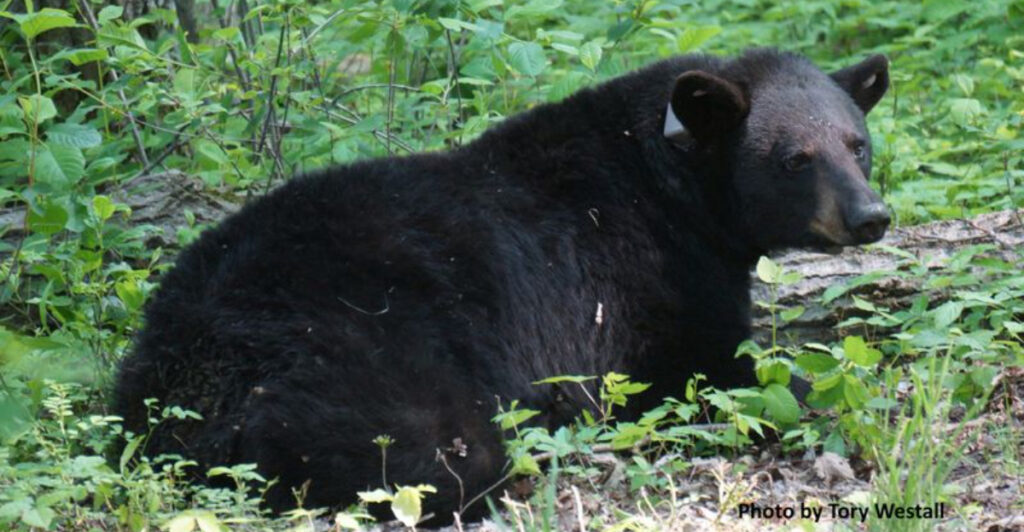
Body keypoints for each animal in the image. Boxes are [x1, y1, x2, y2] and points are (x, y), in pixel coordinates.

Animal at [114, 48, 891, 522]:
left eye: (857, 144)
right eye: (796, 158)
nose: (870, 216)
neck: (672, 181)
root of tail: (188, 378)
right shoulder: (643, 281)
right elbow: (712, 371)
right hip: (362, 353)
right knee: (436, 460)